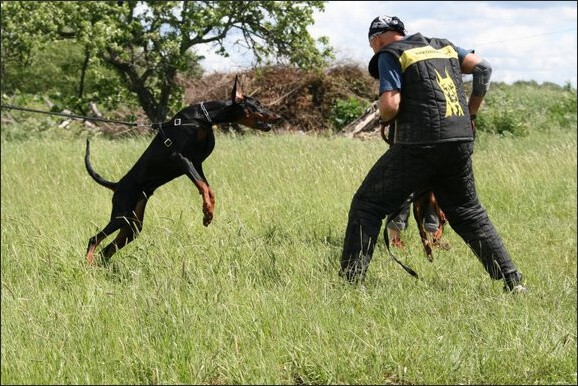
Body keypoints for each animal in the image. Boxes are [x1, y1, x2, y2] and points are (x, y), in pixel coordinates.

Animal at [84, 76, 280, 266]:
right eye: (257, 104)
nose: (278, 117)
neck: (203, 118)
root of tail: (117, 185)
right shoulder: (181, 158)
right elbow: (202, 186)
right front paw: (207, 213)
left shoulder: (197, 162)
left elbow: (208, 189)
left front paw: (208, 213)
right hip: (122, 214)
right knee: (93, 239)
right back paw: (88, 264)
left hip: (133, 225)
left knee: (106, 250)